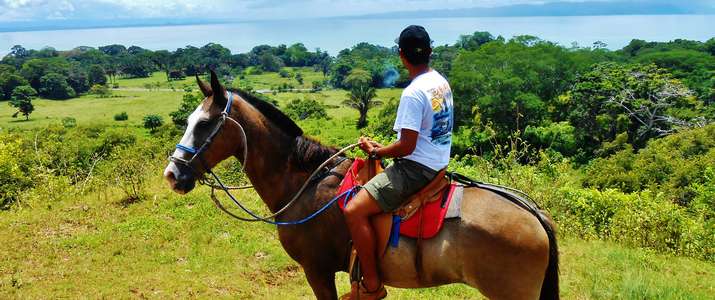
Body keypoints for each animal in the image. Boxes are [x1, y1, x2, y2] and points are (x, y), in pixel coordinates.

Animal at [165, 71, 564, 298]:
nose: (173, 174)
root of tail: (535, 215)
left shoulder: (317, 271)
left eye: (204, 124)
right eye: (189, 120)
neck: (304, 185)